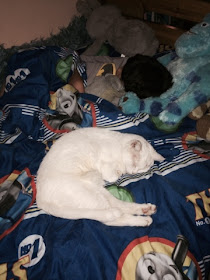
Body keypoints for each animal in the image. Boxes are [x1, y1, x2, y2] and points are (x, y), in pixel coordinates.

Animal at [36, 128, 164, 226]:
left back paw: (146, 210)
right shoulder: (105, 167)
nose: (133, 171)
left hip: (98, 193)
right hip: (91, 196)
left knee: (119, 207)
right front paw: (119, 172)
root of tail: (40, 201)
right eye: (134, 162)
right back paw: (144, 219)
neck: (117, 145)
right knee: (113, 218)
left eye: (144, 167)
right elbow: (113, 175)